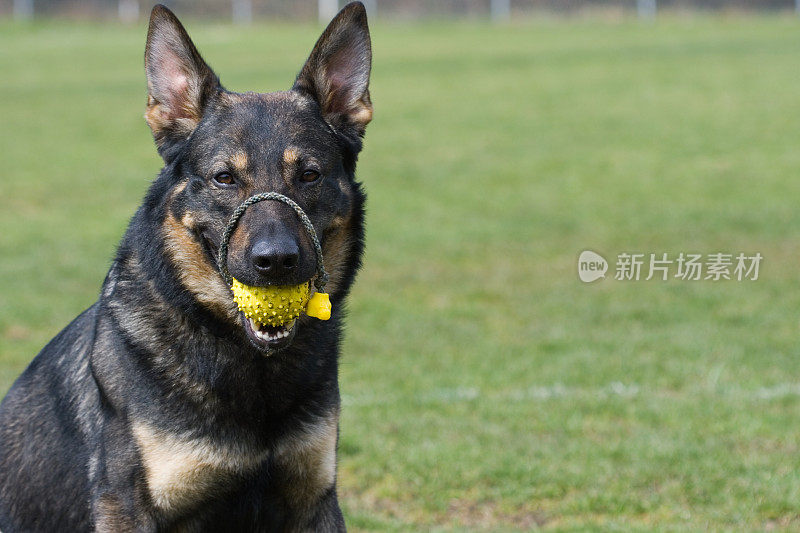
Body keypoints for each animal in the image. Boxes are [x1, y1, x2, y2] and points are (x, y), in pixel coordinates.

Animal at [0, 3, 372, 528]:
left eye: (310, 175)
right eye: (224, 178)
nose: (276, 261)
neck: (252, 369)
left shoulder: (312, 500)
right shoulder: (127, 506)